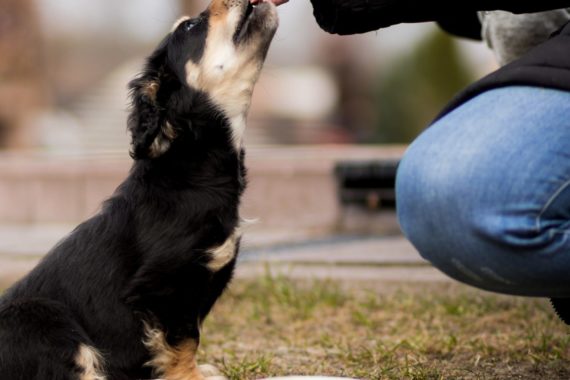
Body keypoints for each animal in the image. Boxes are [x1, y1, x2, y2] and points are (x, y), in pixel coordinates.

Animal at [0, 1, 278, 378]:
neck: (191, 163)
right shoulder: (163, 289)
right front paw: (188, 375)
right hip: (42, 316)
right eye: (190, 26)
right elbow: (183, 339)